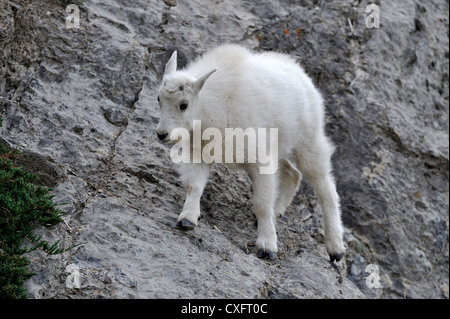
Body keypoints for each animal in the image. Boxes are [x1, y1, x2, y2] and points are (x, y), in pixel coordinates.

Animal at [155, 44, 344, 262]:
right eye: (159, 99)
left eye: (183, 104)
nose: (162, 134)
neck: (213, 105)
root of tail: (304, 77)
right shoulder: (200, 153)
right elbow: (194, 186)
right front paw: (187, 219)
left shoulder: (260, 159)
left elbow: (261, 203)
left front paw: (267, 247)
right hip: (279, 147)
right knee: (292, 174)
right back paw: (277, 212)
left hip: (308, 142)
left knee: (325, 188)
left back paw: (336, 248)